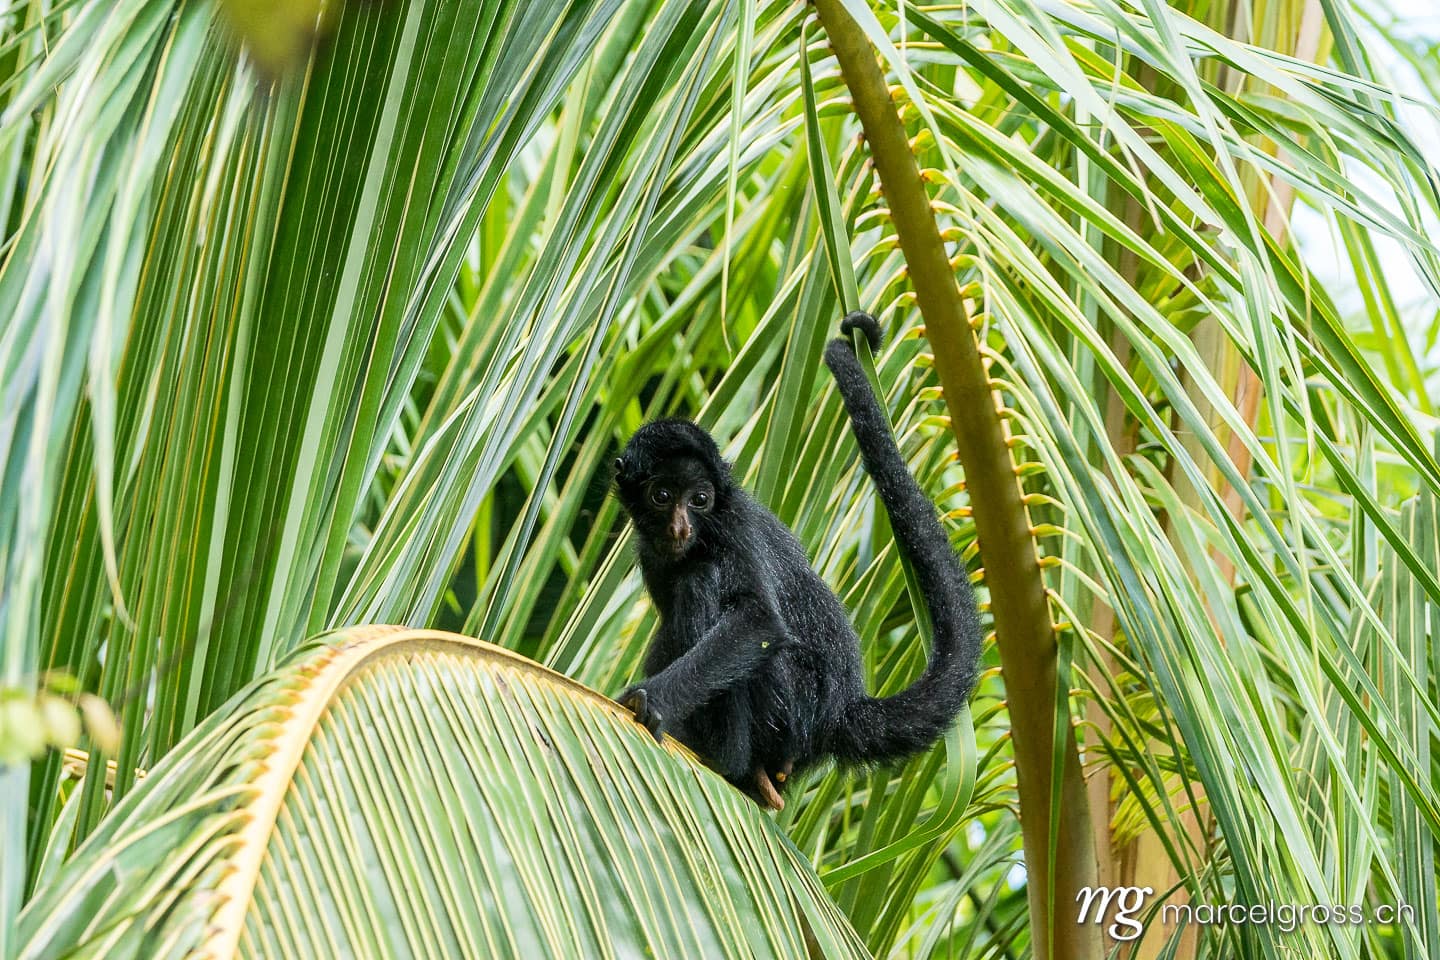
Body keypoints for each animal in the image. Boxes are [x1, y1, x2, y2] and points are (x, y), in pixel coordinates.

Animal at [611, 311, 982, 811]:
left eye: (700, 500)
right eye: (662, 496)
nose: (681, 527)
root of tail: (840, 710)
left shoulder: (735, 528)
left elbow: (758, 621)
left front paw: (652, 701)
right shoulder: (652, 550)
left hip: (789, 707)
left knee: (701, 581)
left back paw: (726, 758)